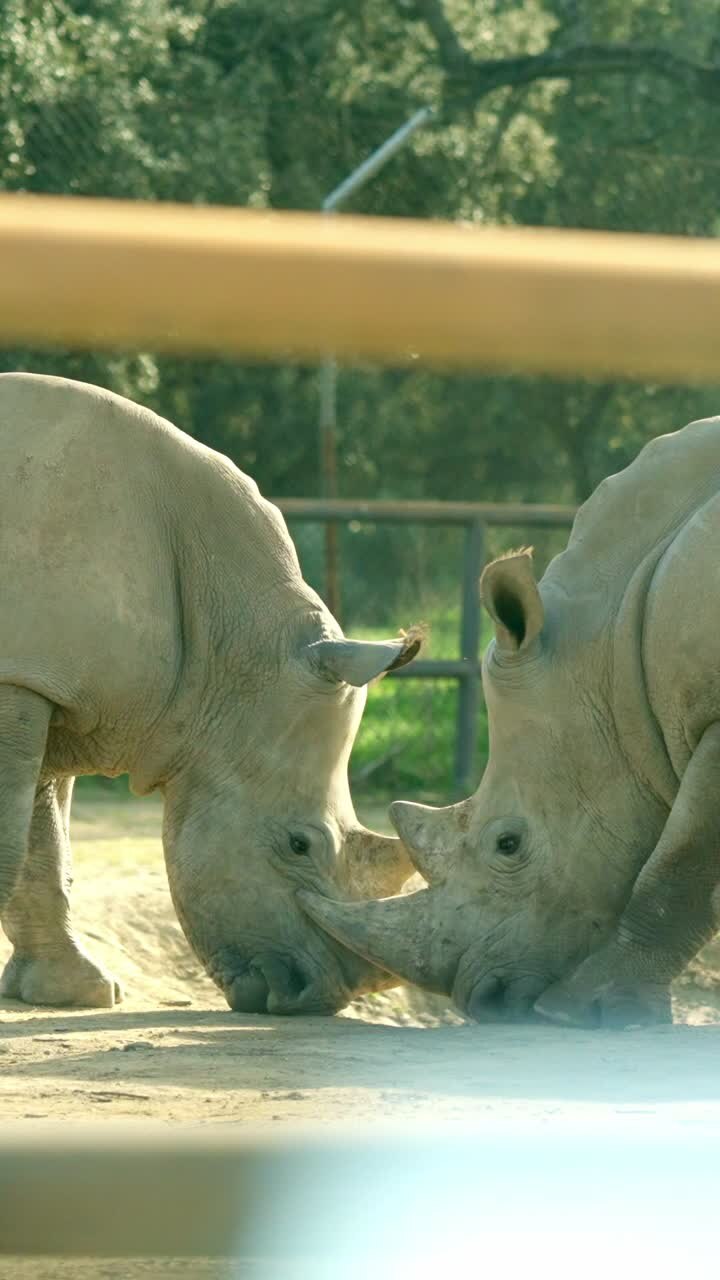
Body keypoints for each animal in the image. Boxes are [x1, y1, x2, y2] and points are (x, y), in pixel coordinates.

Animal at [0, 372, 421, 1015]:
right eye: (299, 845)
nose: (318, 997)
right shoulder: (22, 674)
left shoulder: (55, 682)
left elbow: (43, 844)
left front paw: (75, 993)